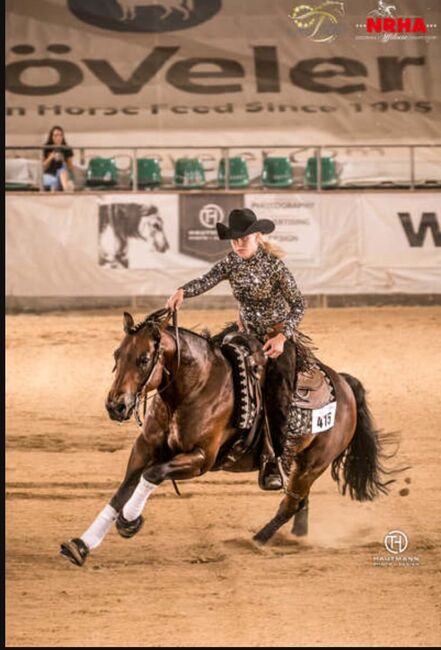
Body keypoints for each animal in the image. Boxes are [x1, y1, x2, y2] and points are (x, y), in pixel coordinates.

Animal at [59, 306, 396, 564]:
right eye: (117, 354)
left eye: (143, 359)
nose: (115, 405)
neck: (195, 388)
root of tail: (344, 383)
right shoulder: (144, 448)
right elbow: (120, 492)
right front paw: (81, 545)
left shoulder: (201, 459)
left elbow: (152, 475)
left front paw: (130, 521)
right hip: (302, 463)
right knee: (299, 502)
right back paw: (296, 537)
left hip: (315, 463)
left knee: (290, 504)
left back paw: (255, 541)